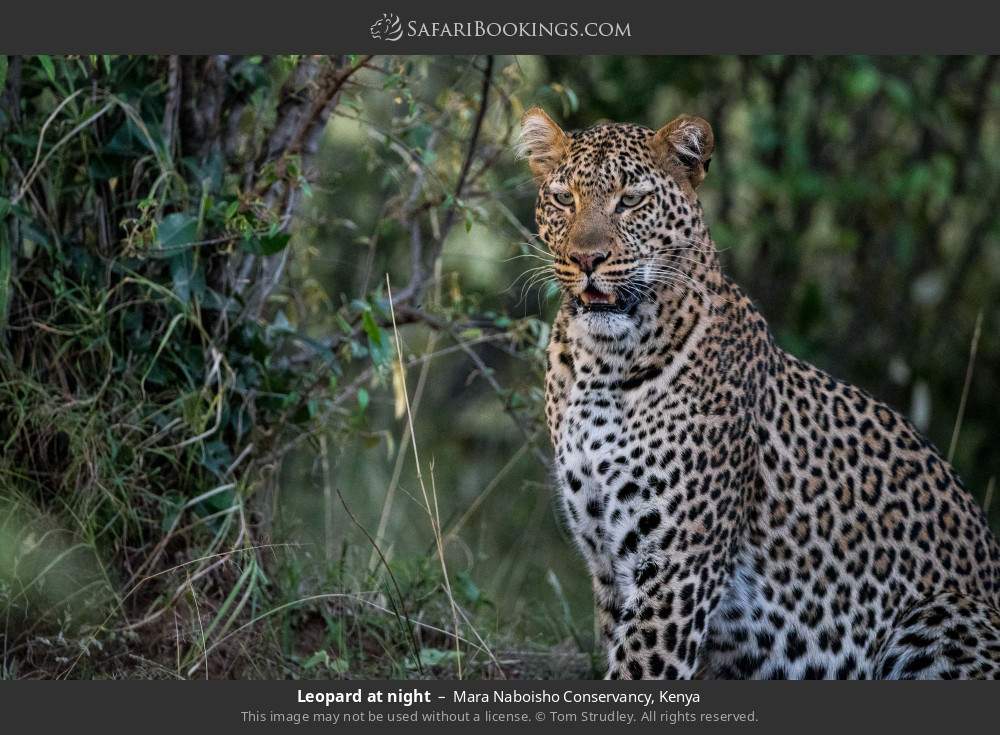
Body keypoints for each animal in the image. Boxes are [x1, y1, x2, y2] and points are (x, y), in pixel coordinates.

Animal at [516, 106, 1000, 680]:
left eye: (631, 200)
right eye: (563, 199)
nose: (586, 259)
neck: (602, 366)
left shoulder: (677, 567)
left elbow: (638, 668)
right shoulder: (609, 565)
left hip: (942, 615)